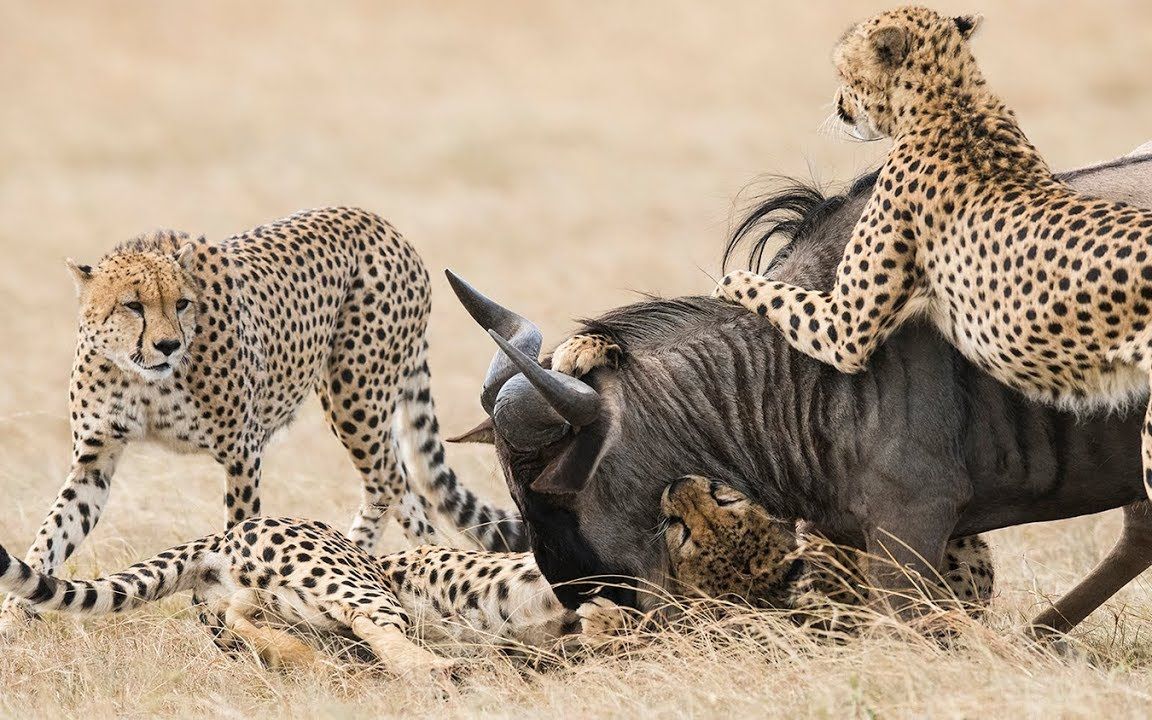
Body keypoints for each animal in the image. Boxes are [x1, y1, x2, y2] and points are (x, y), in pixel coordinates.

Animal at [0, 516, 622, 677]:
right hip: (353, 580)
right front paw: (600, 621)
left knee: (244, 615)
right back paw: (433, 666)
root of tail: (225, 533)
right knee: (373, 623)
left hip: (277, 605)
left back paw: (305, 660)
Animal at [2, 205, 525, 631]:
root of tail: (380, 223)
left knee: (390, 484)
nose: (168, 345)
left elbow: (239, 527)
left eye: (181, 303)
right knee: (396, 484)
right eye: (133, 305)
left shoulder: (241, 451)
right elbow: (52, 535)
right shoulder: (95, 460)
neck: (143, 376)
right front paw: (14, 615)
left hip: (354, 398)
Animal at [709, 8, 1152, 509]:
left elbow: (771, 290)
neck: (953, 100)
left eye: (844, 72)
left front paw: (726, 281)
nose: (838, 104)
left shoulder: (847, 328)